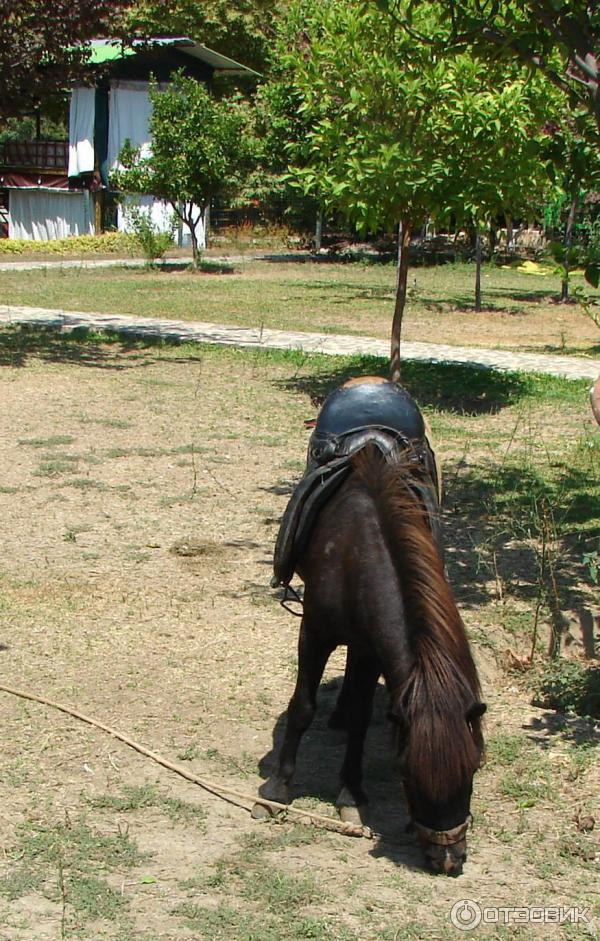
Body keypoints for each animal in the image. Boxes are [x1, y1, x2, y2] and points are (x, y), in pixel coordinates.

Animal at [260, 378, 486, 876]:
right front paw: (279, 790)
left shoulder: (368, 646)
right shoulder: (314, 632)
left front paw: (349, 794)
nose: (448, 859)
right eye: (408, 774)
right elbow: (302, 706)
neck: (355, 551)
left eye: (473, 771)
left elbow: (364, 717)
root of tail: (370, 382)